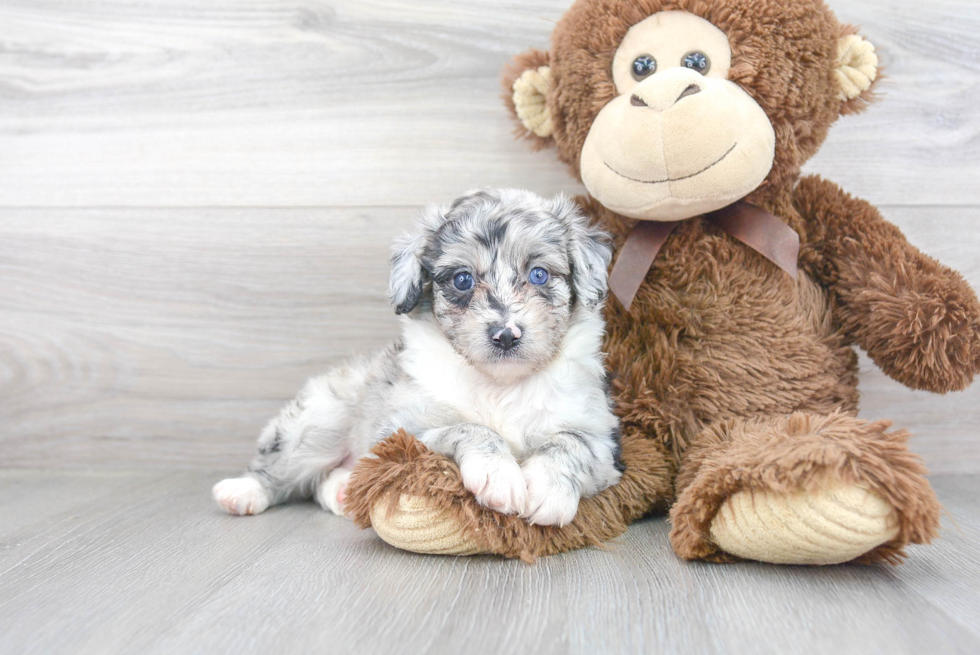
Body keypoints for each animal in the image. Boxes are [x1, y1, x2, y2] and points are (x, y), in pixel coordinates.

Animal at [214, 190, 624, 528]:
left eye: (538, 274)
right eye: (462, 280)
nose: (506, 335)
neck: (500, 385)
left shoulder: (605, 445)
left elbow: (571, 442)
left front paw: (548, 489)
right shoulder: (399, 433)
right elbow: (468, 427)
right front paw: (500, 475)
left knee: (324, 482)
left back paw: (343, 492)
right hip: (318, 422)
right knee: (280, 469)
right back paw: (243, 492)